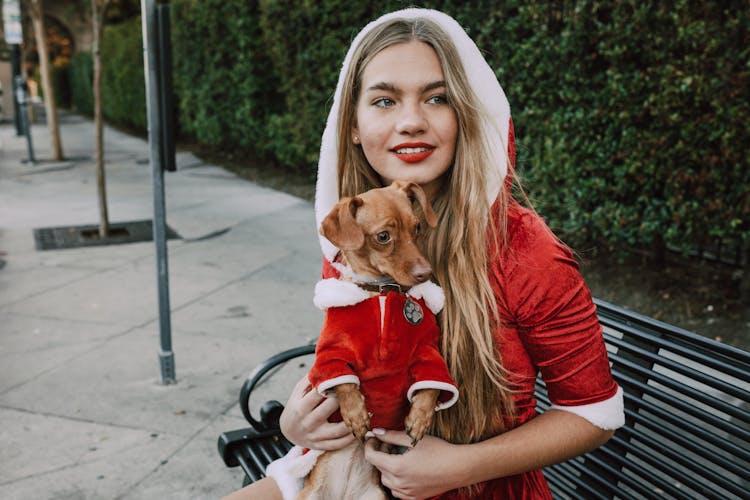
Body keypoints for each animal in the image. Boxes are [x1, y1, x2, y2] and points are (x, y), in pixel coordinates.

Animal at [292, 182, 458, 500]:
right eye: (383, 236)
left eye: (417, 227)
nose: (426, 274)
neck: (382, 293)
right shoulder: (331, 353)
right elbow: (344, 382)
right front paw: (356, 414)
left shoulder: (427, 351)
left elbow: (432, 385)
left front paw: (419, 418)